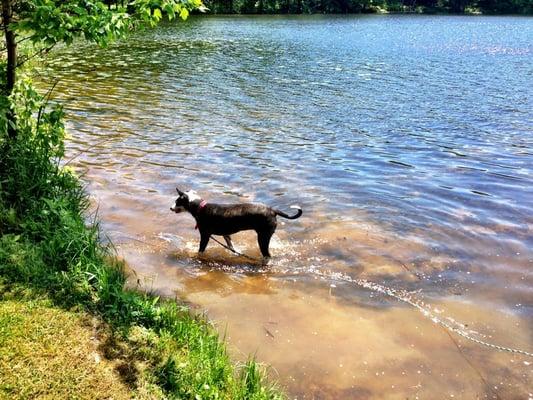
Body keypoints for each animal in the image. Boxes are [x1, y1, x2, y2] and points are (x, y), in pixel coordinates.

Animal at [171, 188, 302, 260]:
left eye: (177, 201)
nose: (171, 208)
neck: (200, 207)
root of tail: (273, 210)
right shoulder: (226, 235)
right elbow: (231, 247)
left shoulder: (205, 236)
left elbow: (201, 250)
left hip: (263, 238)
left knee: (267, 255)